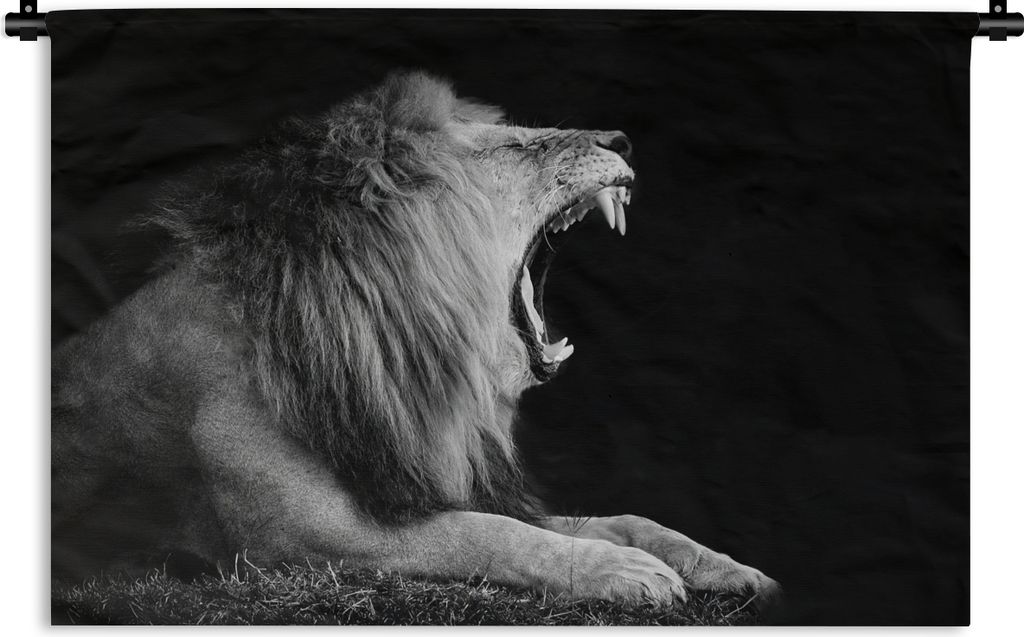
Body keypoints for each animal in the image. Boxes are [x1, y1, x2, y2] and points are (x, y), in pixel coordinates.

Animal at [51, 71, 779, 608]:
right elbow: (486, 535)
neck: (396, 359)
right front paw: (624, 571)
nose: (623, 140)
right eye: (511, 148)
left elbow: (620, 518)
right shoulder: (297, 541)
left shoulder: (421, 483)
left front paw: (720, 562)